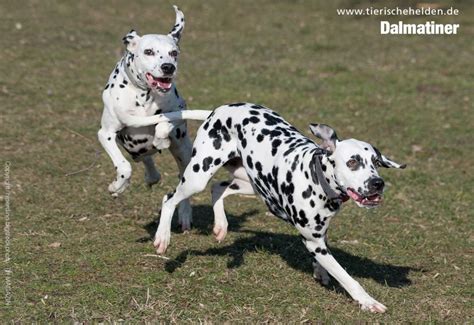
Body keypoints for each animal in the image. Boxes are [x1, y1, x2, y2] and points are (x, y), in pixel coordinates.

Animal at [97, 5, 199, 228]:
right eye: (149, 51)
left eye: (173, 52)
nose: (168, 67)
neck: (143, 95)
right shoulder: (106, 134)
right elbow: (124, 166)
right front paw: (116, 186)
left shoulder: (178, 111)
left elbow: (165, 122)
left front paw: (161, 136)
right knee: (144, 161)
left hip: (184, 151)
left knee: (182, 180)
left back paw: (185, 215)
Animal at [154, 103, 406, 312]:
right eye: (352, 162)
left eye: (376, 162)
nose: (378, 183)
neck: (316, 177)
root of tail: (219, 110)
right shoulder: (313, 242)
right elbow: (347, 277)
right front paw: (368, 301)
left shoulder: (320, 236)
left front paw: (320, 272)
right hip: (198, 176)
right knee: (170, 198)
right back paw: (163, 237)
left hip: (249, 183)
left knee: (218, 189)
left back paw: (221, 226)